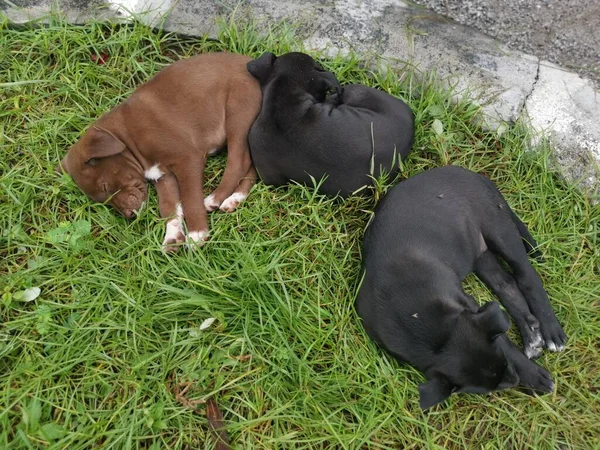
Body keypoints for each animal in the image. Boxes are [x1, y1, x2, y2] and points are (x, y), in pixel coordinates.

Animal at [56, 51, 260, 253]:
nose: (130, 215)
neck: (127, 137)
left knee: (238, 162)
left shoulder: (188, 159)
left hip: (239, 114)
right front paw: (173, 236)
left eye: (105, 187)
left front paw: (196, 234)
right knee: (252, 166)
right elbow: (168, 206)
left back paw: (215, 198)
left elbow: (190, 199)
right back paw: (234, 200)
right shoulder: (163, 176)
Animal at [356, 166, 568, 412]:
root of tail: (474, 175)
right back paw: (531, 334)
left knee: (527, 277)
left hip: (498, 229)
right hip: (478, 252)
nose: (514, 379)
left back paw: (551, 331)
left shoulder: (470, 308)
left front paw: (535, 376)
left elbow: (506, 342)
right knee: (506, 285)